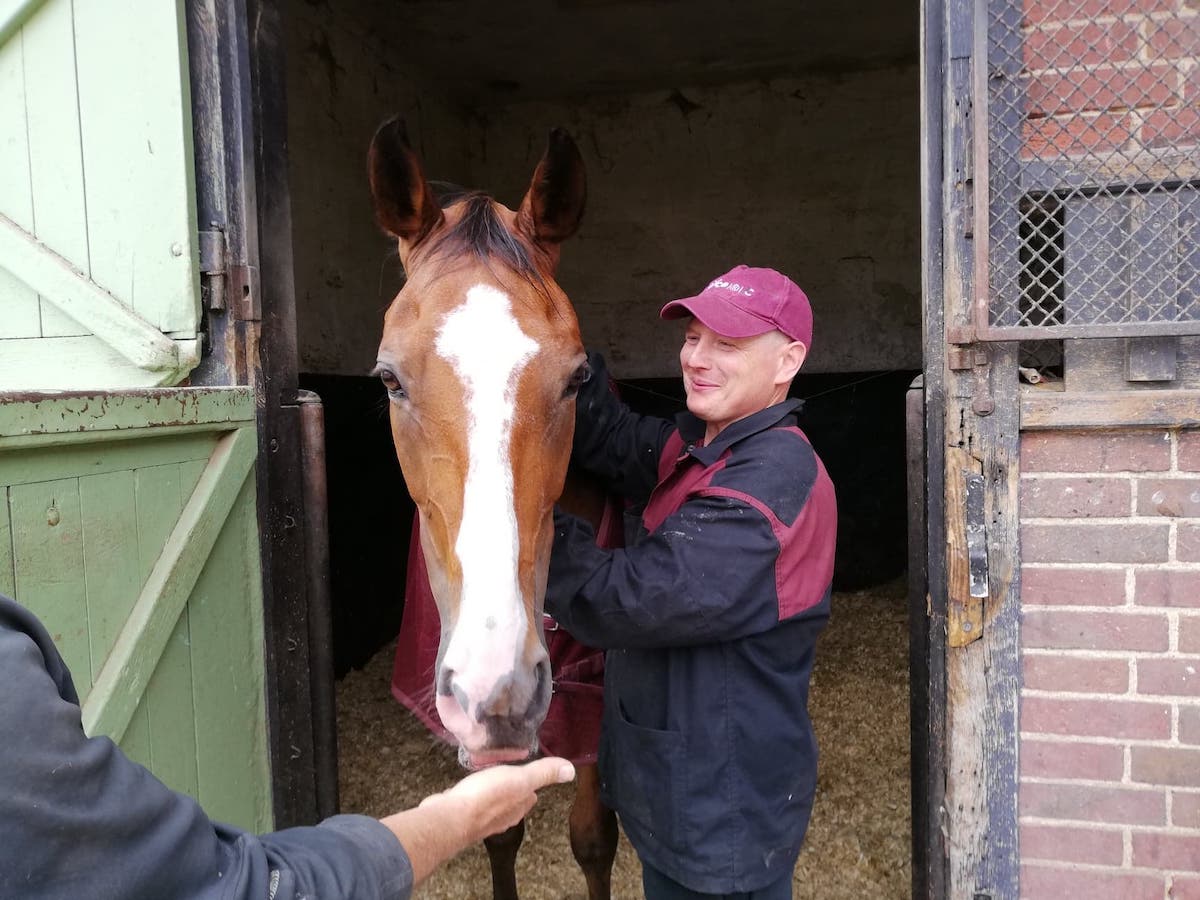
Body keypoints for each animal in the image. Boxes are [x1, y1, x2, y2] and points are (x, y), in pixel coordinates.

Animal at [364, 118, 619, 900]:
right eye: (389, 379)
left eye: (578, 377)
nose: (494, 685)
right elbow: (499, 829)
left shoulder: (592, 700)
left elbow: (593, 838)